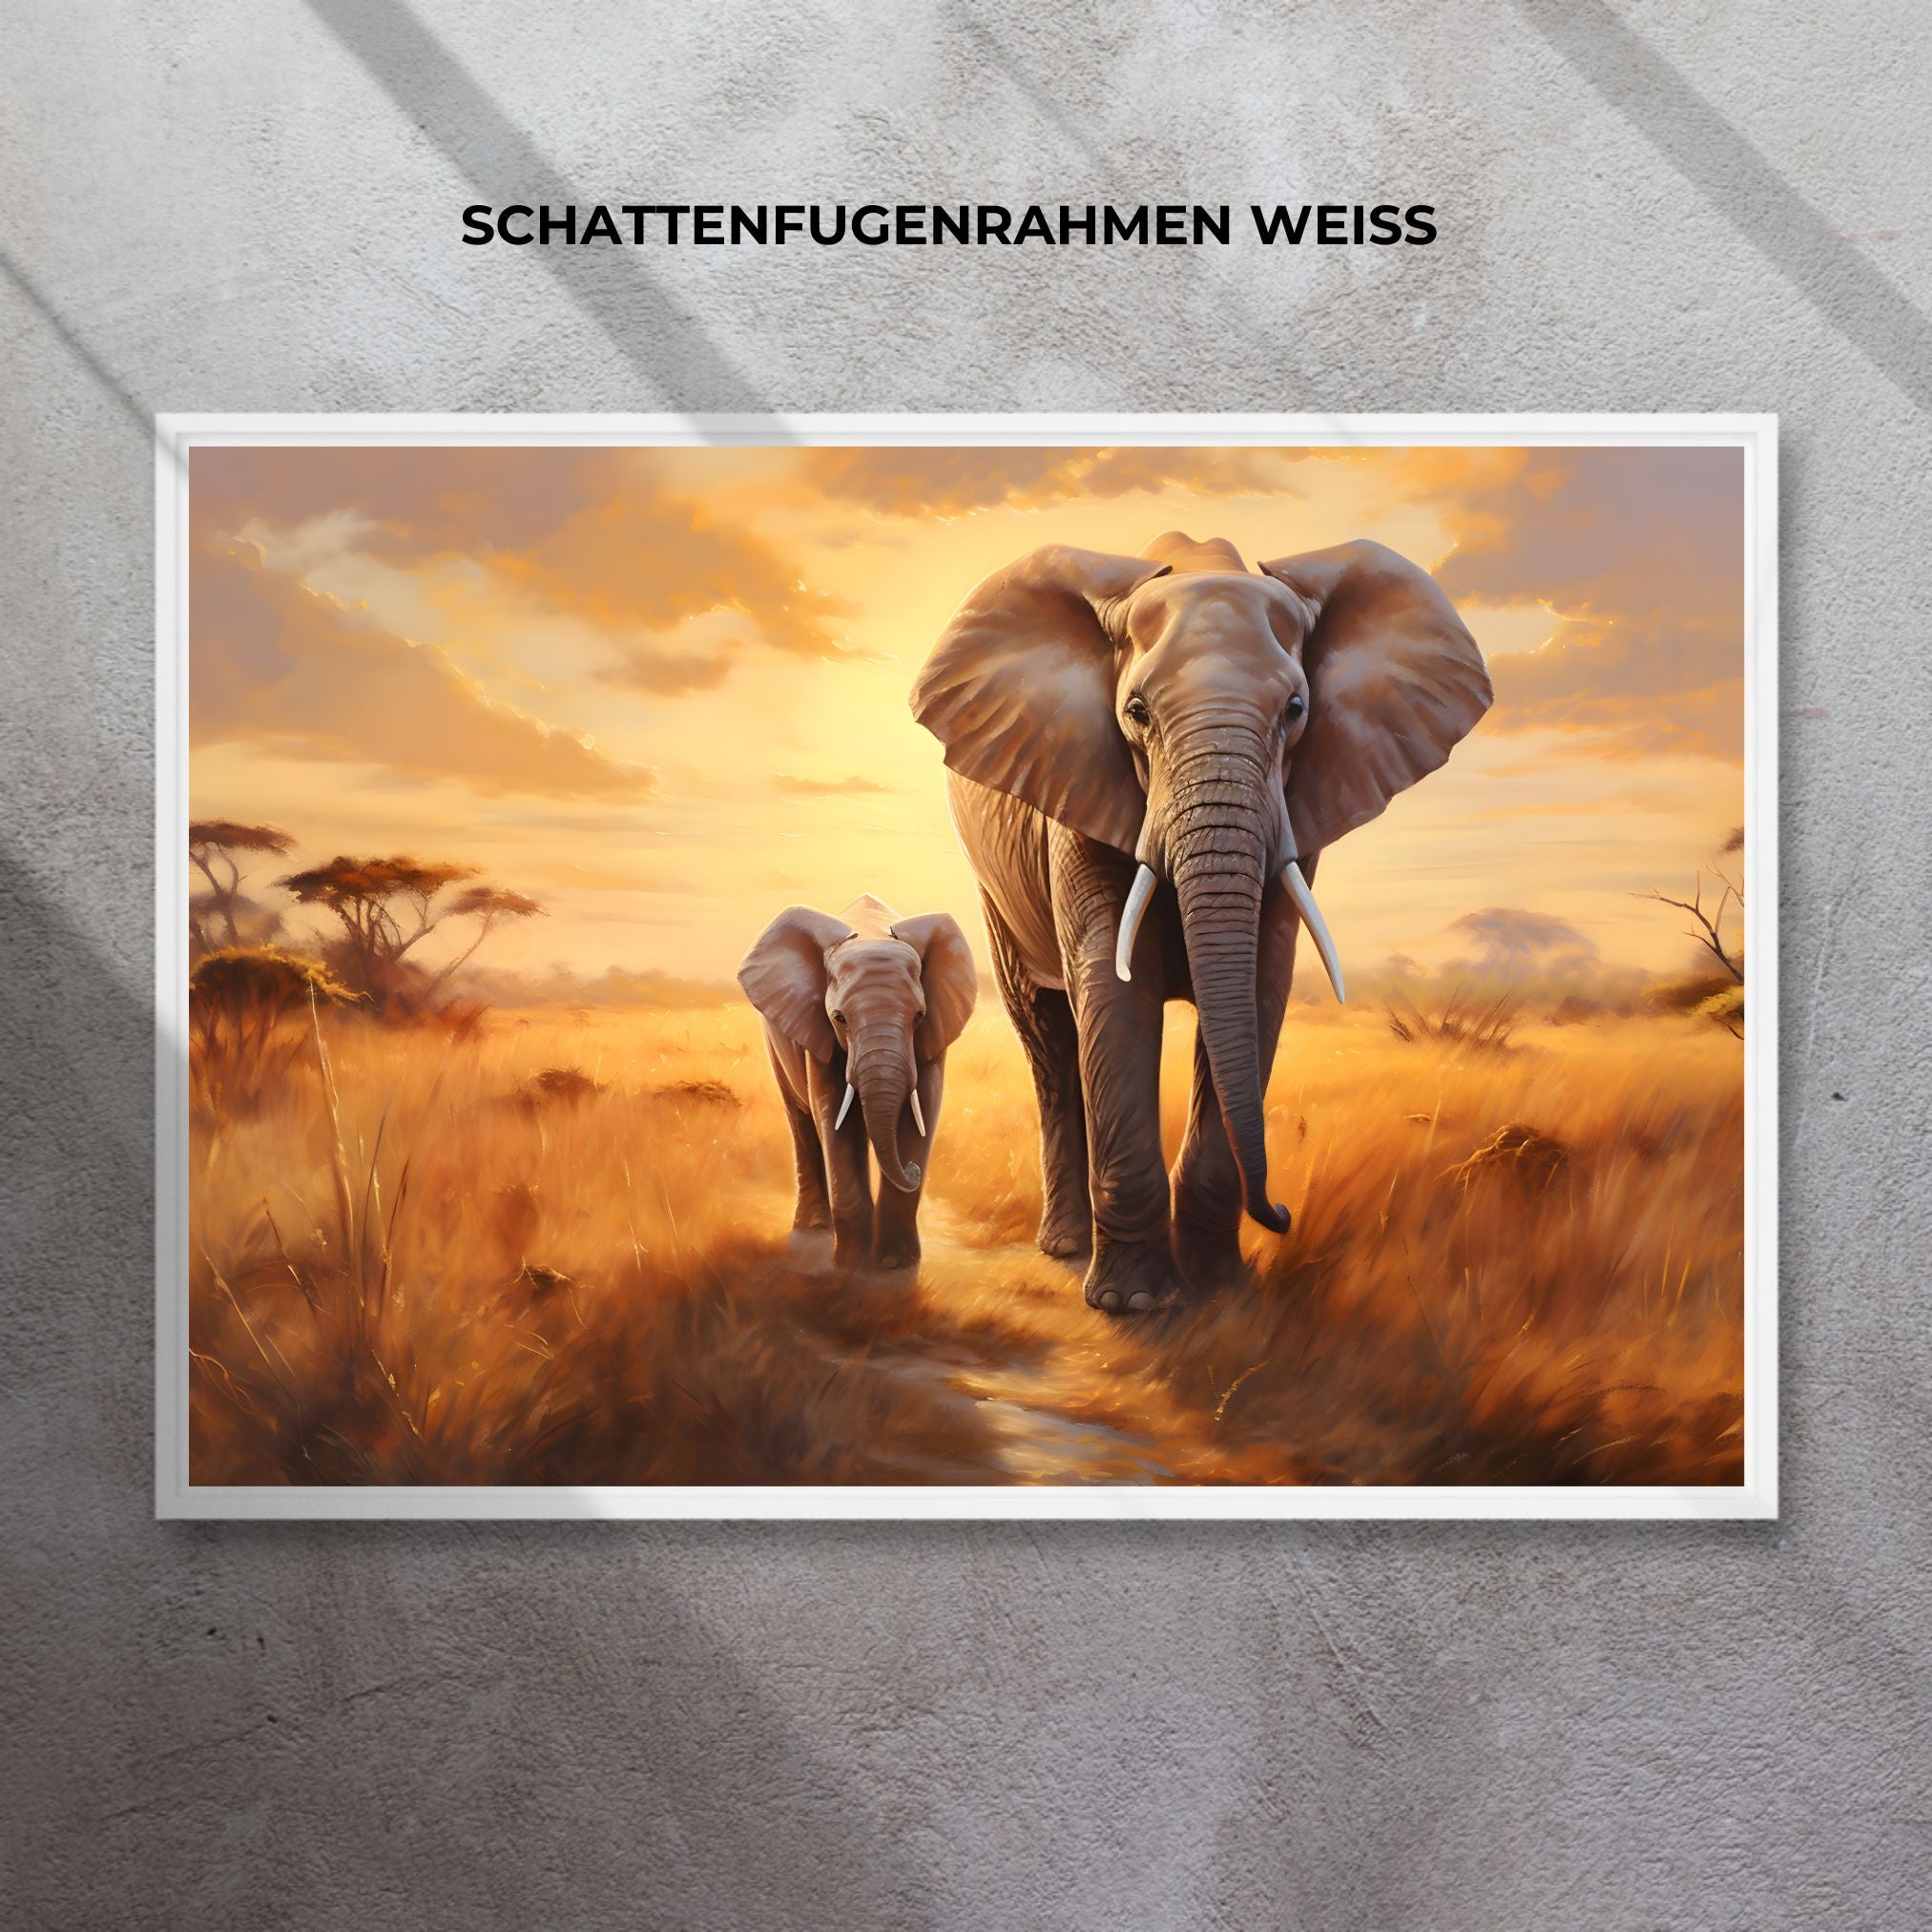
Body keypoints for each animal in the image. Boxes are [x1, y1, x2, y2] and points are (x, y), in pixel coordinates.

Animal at [738, 894, 978, 1270]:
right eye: (839, 1018)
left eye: (919, 1016)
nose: (911, 1170)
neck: (871, 933)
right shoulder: (816, 1027)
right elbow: (835, 1117)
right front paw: (851, 1265)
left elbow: (922, 1110)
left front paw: (894, 1264)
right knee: (802, 1123)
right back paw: (813, 1229)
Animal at [911, 530, 1491, 1313]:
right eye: (1135, 713)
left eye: (1296, 709)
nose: (1282, 1211)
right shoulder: (1080, 793)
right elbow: (1115, 989)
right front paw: (1133, 1305)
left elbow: (1257, 985)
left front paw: (1218, 1287)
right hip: (995, 892)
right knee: (1049, 1039)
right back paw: (1065, 1247)